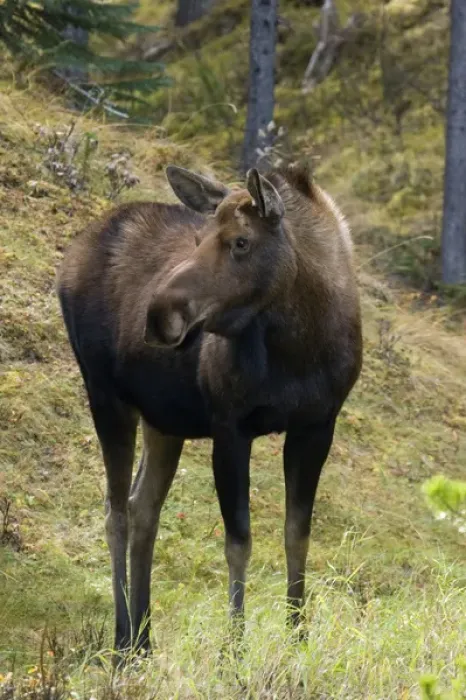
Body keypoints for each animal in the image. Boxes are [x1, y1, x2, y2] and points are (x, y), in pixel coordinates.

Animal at [57, 163, 362, 656]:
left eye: (241, 241)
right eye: (199, 238)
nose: (157, 316)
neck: (299, 347)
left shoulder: (317, 425)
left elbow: (297, 535)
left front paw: (297, 639)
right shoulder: (230, 426)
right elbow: (239, 541)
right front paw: (233, 651)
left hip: (163, 418)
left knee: (143, 507)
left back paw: (143, 639)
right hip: (105, 395)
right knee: (115, 511)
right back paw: (122, 638)